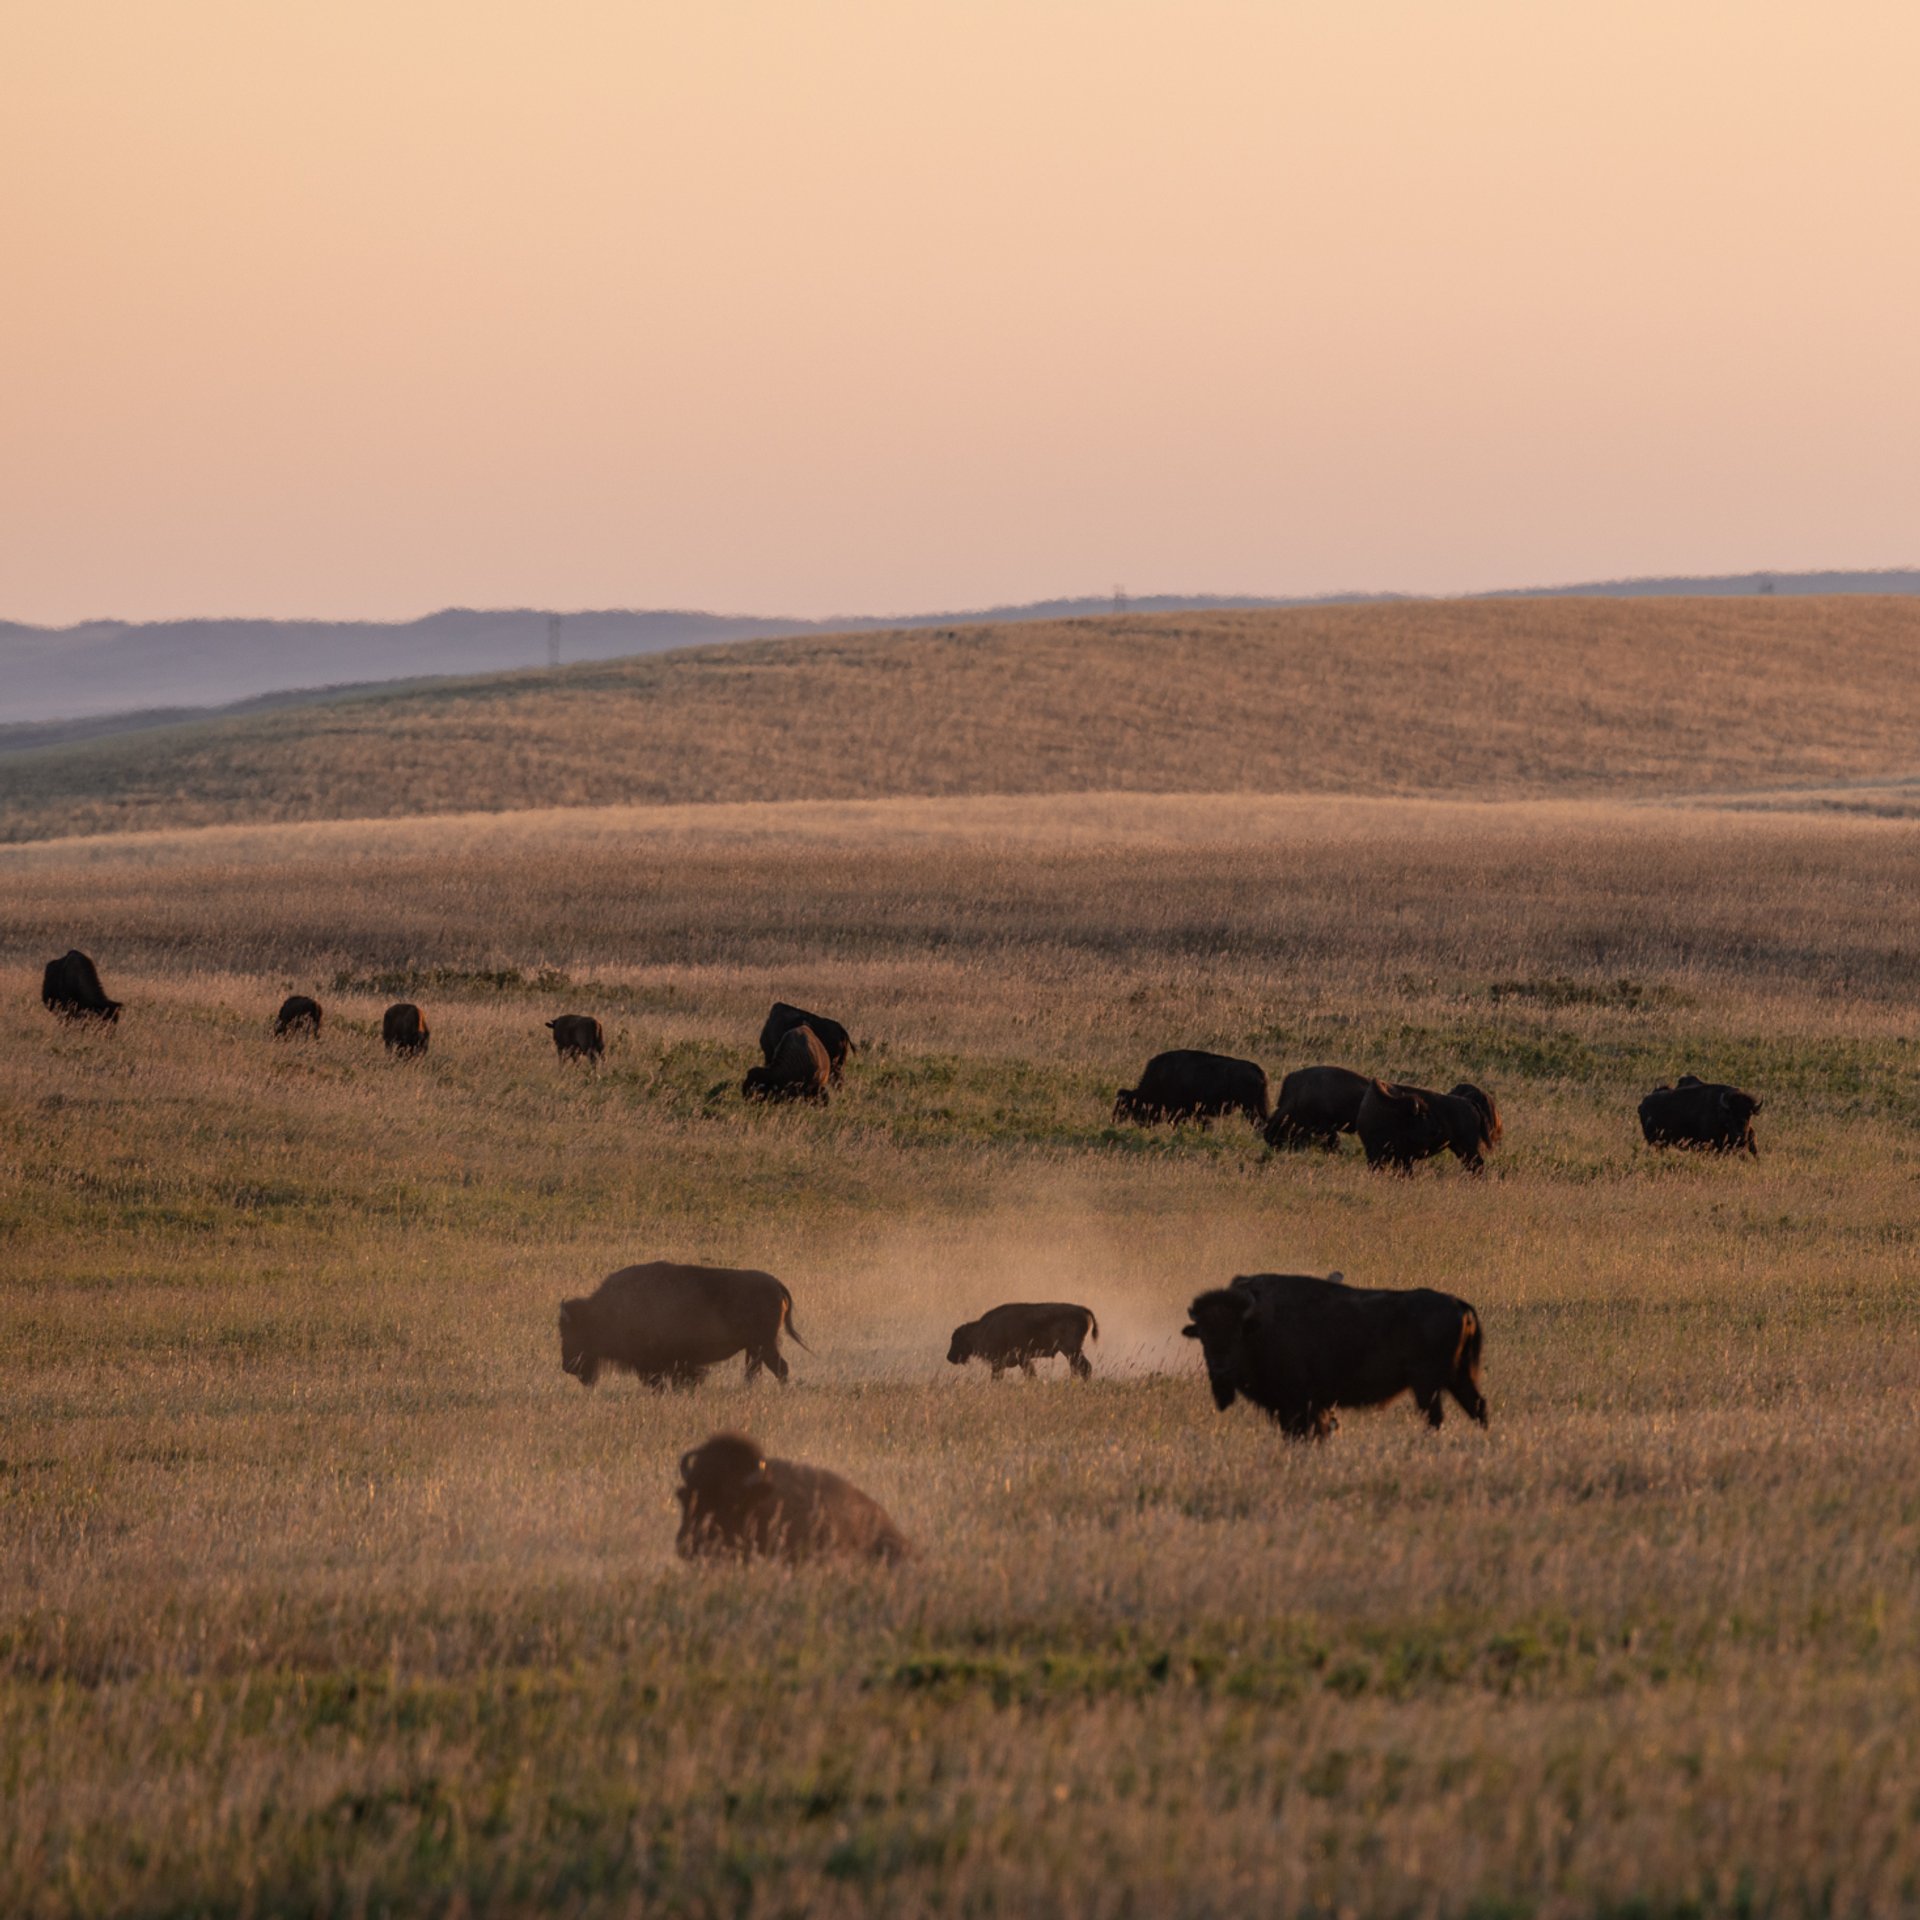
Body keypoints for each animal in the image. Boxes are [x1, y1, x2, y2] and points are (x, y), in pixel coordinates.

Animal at [559, 1260, 807, 1388]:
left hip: (764, 1344)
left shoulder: (660, 1363)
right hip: (756, 1347)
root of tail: (775, 1284)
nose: (568, 1367)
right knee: (758, 1370)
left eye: (572, 1333)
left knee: (779, 1368)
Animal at [947, 1302, 1100, 1380]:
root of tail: (1082, 1310)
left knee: (1084, 1367)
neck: (982, 1328)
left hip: (1070, 1350)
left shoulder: (1009, 1360)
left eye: (956, 1339)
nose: (949, 1357)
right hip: (1071, 1352)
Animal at [1183, 1270, 1488, 1440]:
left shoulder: (1298, 1405)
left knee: (1436, 1418)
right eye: (1203, 1336)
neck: (1258, 1325)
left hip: (1427, 1385)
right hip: (1456, 1379)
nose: (1220, 1370)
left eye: (1236, 1334)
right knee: (1477, 1407)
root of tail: (1460, 1306)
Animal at [1354, 1080, 1500, 1174]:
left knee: (1477, 1165)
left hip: (1468, 1148)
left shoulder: (1400, 1156)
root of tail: (1470, 1102)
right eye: (1423, 1115)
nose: (1437, 1130)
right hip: (1460, 1148)